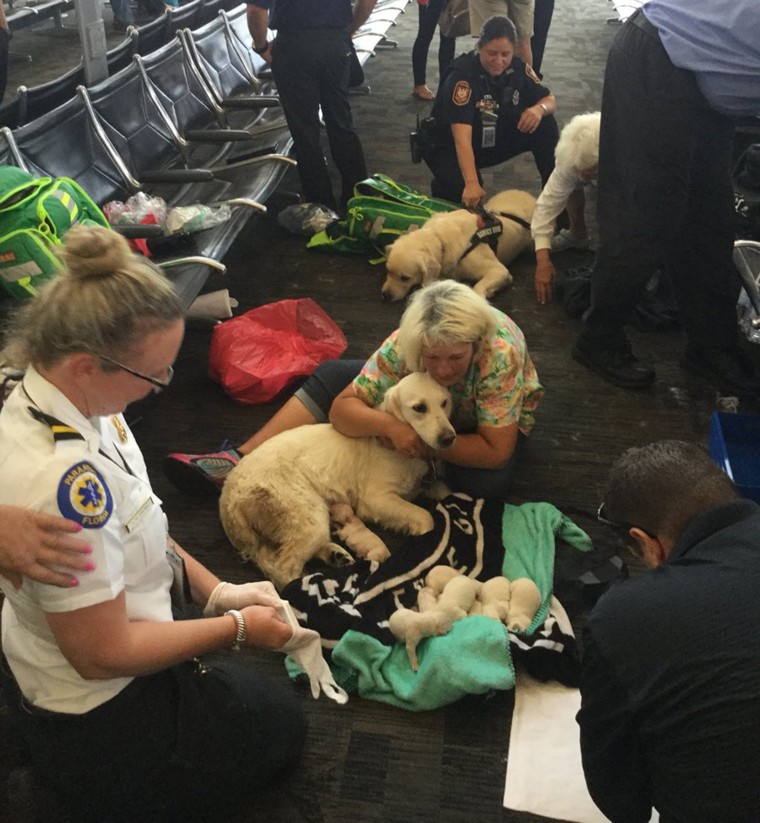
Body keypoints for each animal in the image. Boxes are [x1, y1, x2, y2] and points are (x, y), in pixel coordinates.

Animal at [220, 370, 458, 588]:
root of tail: (228, 499)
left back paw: (336, 555)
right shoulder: (376, 499)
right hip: (309, 514)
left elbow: (447, 491)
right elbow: (425, 516)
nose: (449, 438)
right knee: (284, 567)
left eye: (444, 403)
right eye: (420, 408)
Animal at [380, 190, 536, 302]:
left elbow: (478, 286)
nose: (385, 295)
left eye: (405, 278)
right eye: (388, 271)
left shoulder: (499, 270)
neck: (439, 237)